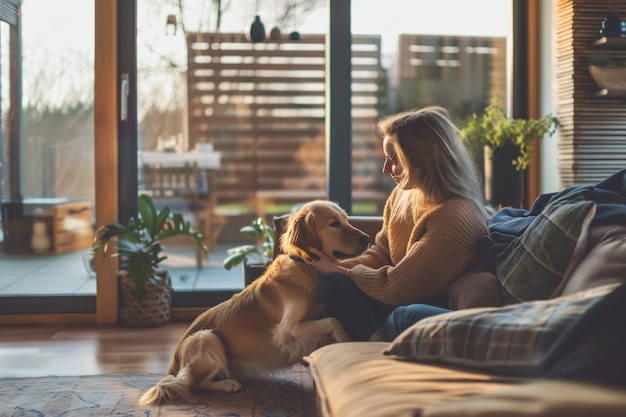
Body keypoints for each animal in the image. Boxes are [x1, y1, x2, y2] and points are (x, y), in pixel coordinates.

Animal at [139, 200, 368, 404]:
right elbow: (333, 320)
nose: (367, 238)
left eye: (346, 219)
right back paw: (228, 385)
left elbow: (329, 319)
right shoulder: (288, 329)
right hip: (207, 337)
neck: (305, 265)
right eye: (334, 223)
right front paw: (347, 340)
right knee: (193, 383)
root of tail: (174, 361)